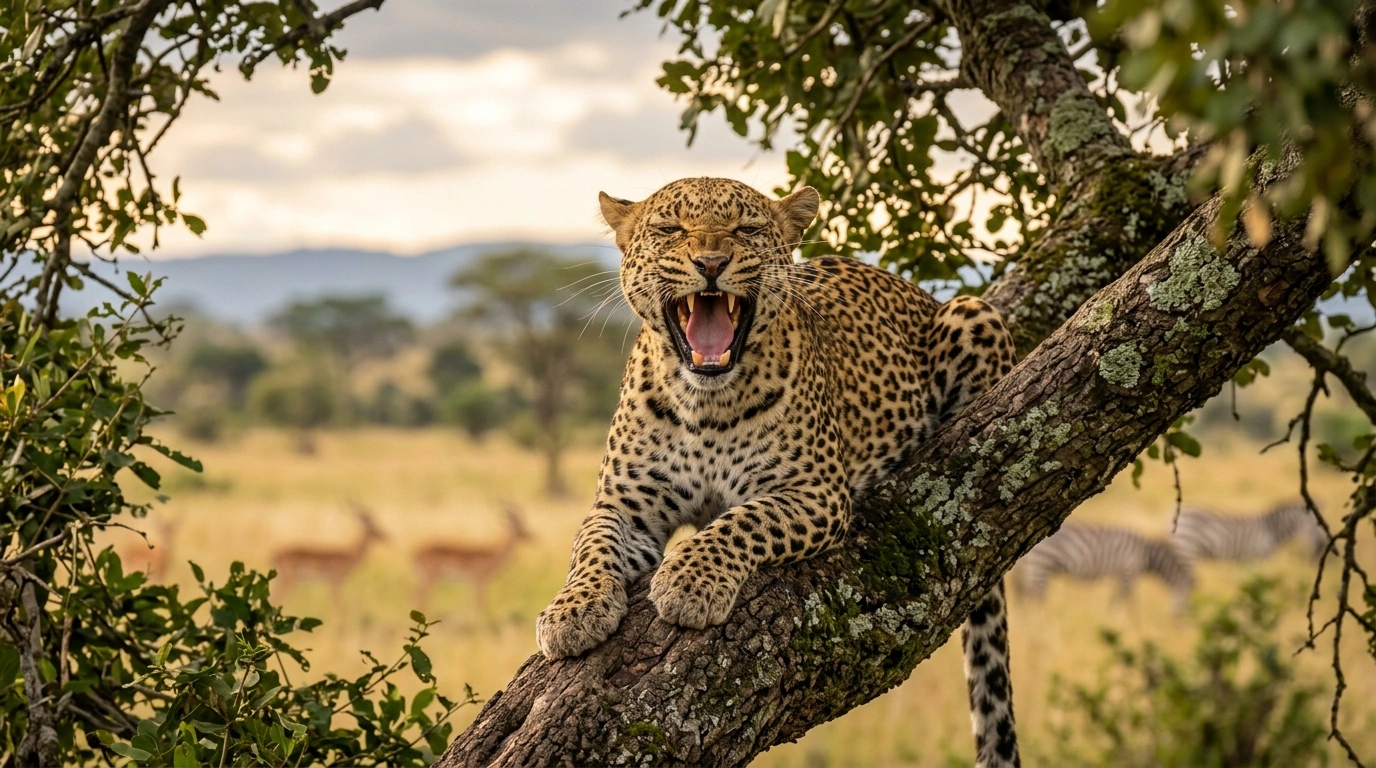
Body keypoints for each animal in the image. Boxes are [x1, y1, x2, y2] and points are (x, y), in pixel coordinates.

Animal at [535, 177, 1019, 768]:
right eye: (670, 229)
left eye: (746, 229)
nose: (711, 261)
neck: (704, 402)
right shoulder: (624, 505)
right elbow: (593, 545)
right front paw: (572, 612)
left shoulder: (817, 491)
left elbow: (740, 522)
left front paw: (689, 581)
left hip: (972, 312)